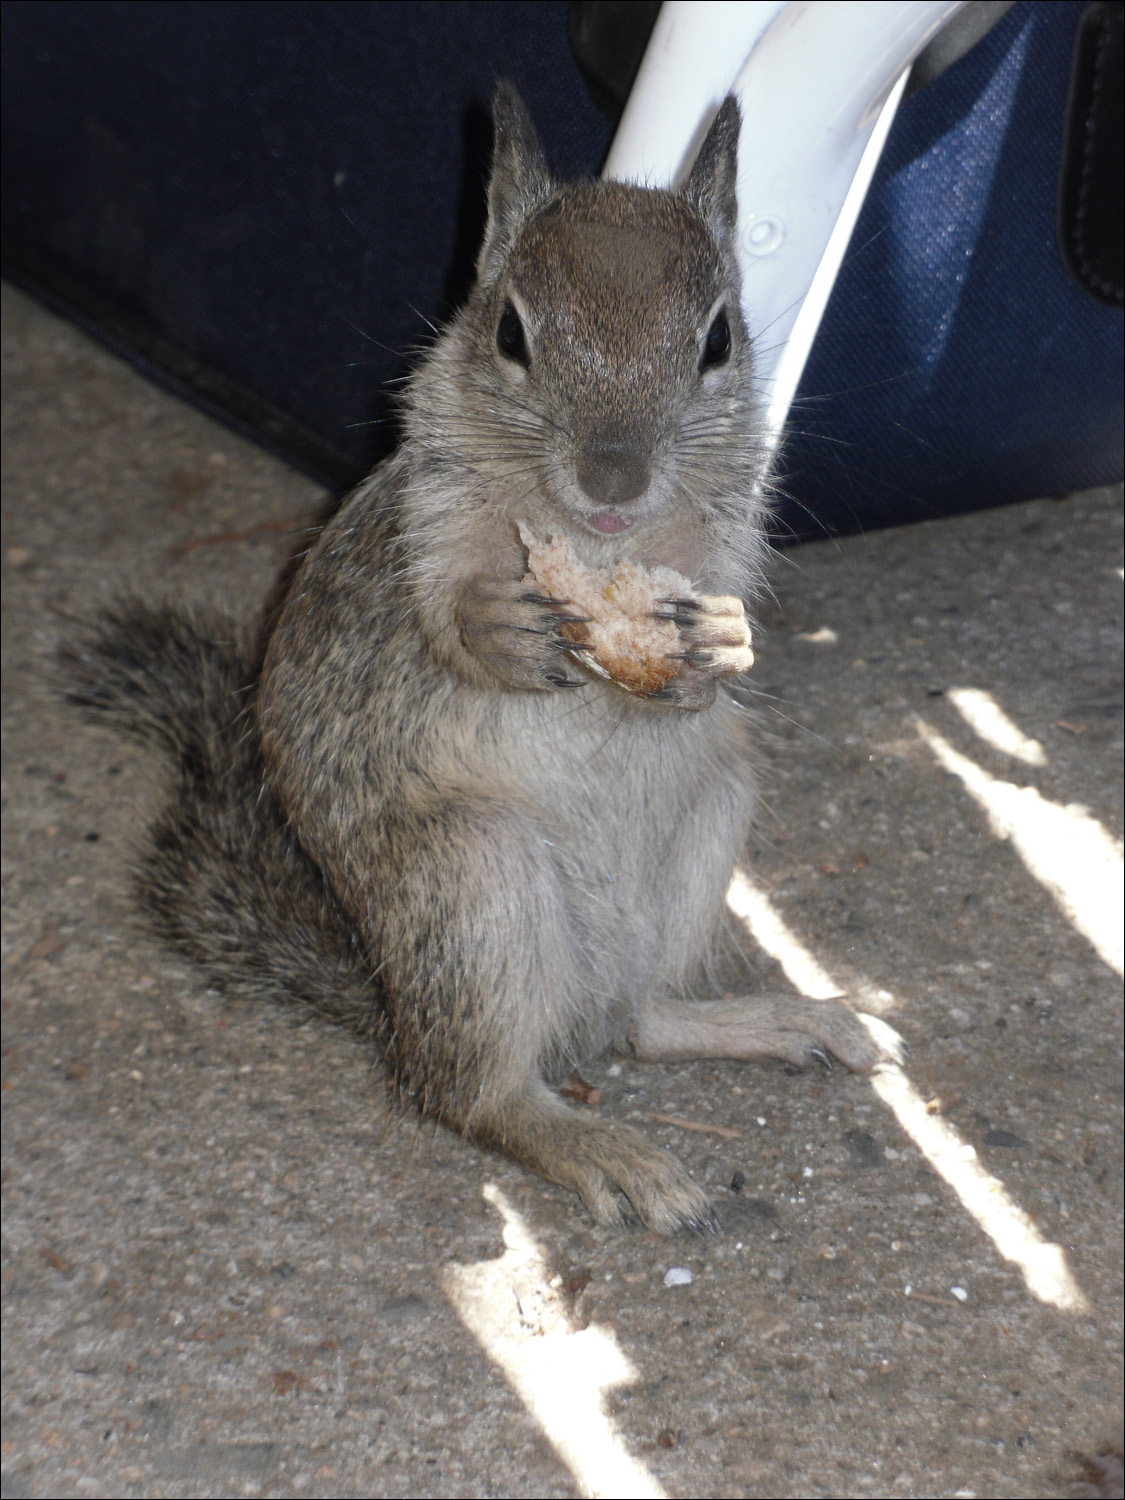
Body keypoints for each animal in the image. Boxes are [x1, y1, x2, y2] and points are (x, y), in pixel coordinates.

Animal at [61, 87, 894, 1230]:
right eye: (509, 331)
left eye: (719, 338)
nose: (614, 476)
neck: (599, 545)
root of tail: (392, 1008)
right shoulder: (422, 521)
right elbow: (435, 621)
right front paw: (493, 627)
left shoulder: (724, 540)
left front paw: (721, 640)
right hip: (472, 882)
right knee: (474, 1095)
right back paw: (597, 1146)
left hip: (709, 816)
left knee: (640, 1023)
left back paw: (773, 1021)